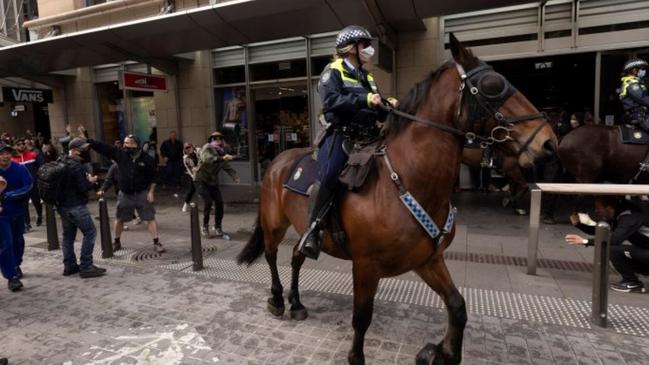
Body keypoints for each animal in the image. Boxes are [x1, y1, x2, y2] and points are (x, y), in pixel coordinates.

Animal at [237, 34, 556, 364]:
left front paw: (442, 351)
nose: (549, 142)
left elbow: (457, 305)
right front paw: (357, 357)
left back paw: (297, 302)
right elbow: (361, 317)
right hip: (274, 224)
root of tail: (277, 160)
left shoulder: (428, 259)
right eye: (493, 85)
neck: (408, 179)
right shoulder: (366, 265)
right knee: (272, 255)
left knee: (297, 256)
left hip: (303, 227)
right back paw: (277, 299)